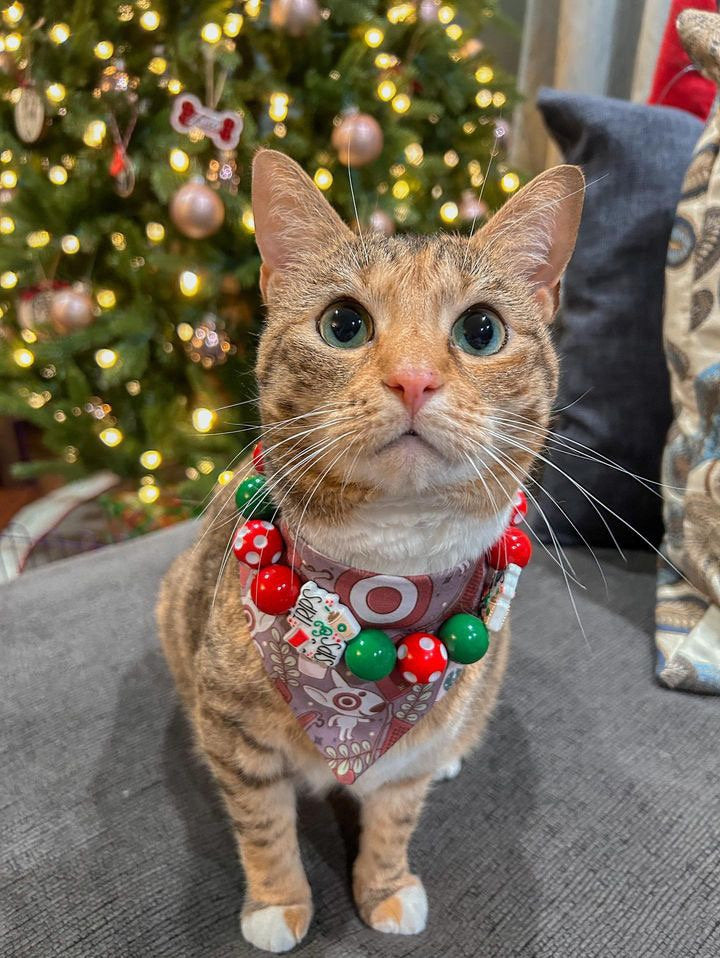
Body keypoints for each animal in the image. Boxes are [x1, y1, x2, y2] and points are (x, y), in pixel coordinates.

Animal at [158, 150, 584, 952]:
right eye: (343, 323)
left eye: (482, 329)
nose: (413, 379)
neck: (386, 577)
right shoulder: (234, 732)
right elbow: (262, 825)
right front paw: (278, 902)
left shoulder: (406, 754)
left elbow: (395, 816)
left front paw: (384, 889)